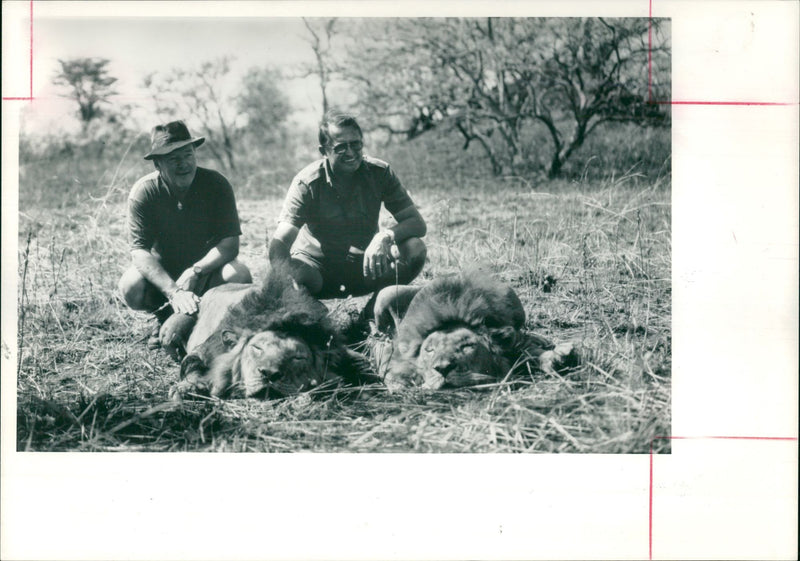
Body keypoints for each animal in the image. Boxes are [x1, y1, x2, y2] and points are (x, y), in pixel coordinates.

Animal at [168, 262, 372, 398]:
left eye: (298, 357)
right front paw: (189, 388)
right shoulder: (206, 349)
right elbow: (191, 365)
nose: (269, 374)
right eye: (257, 348)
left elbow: (359, 362)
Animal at [372, 272, 580, 390]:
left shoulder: (511, 340)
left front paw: (558, 358)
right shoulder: (393, 352)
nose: (443, 369)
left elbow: (529, 350)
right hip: (386, 294)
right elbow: (391, 369)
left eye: (468, 346)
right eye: (429, 350)